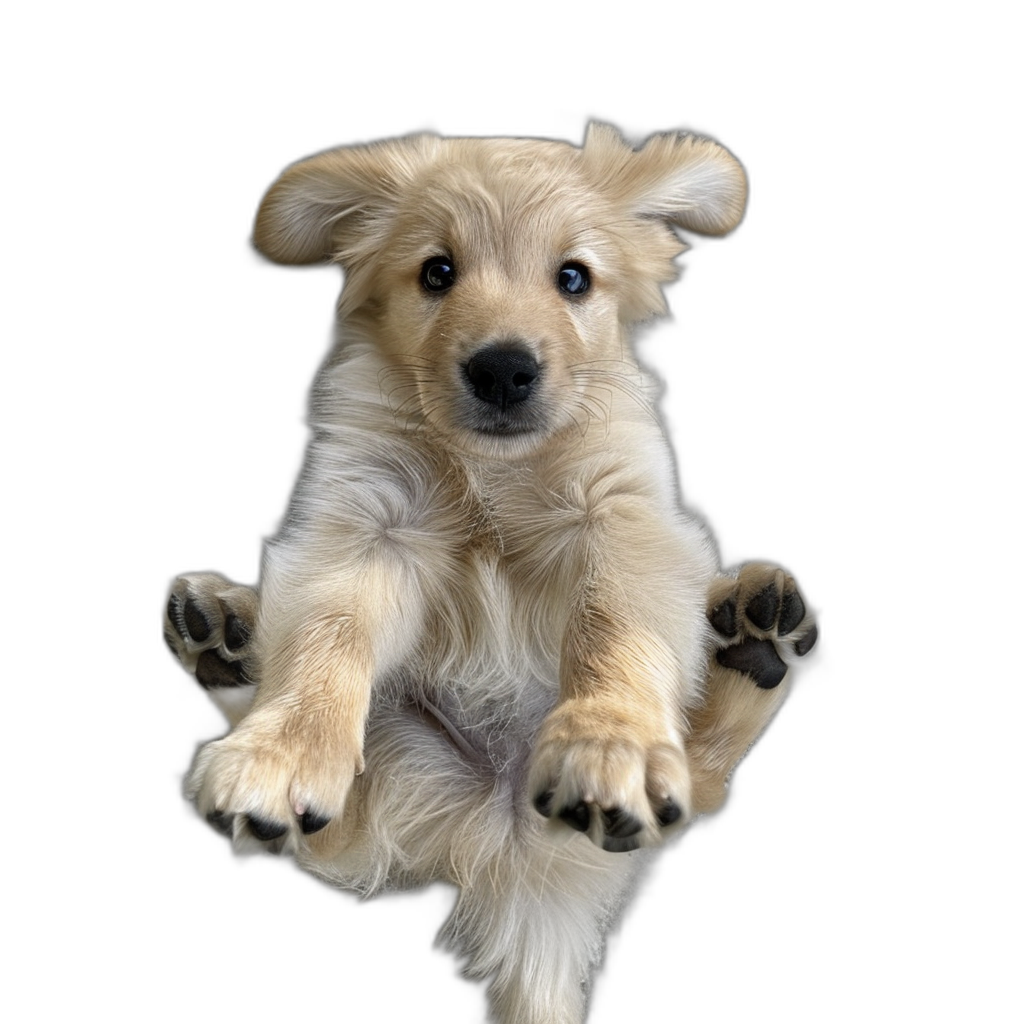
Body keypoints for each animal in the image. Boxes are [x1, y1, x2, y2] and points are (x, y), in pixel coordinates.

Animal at [163, 123, 819, 1019]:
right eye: (437, 272)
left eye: (573, 277)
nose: (503, 368)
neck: (492, 470)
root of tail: (514, 845)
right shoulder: (371, 521)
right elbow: (330, 637)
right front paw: (283, 751)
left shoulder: (620, 516)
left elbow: (616, 630)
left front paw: (610, 738)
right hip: (402, 766)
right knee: (335, 828)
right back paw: (226, 643)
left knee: (706, 776)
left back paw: (756, 635)